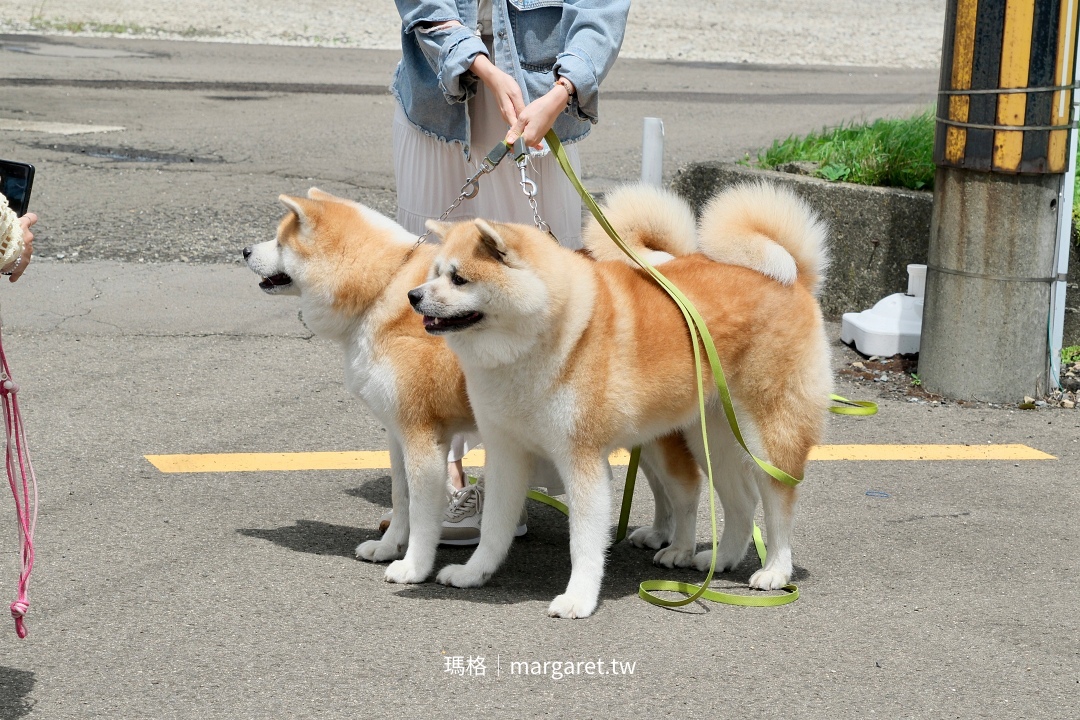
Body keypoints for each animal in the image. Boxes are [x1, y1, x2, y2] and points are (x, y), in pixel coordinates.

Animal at [412, 183, 833, 617]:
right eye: (434, 273)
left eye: (459, 278)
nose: (413, 296)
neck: (549, 335)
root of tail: (795, 278)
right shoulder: (507, 453)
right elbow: (495, 529)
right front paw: (473, 573)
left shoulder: (581, 459)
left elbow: (583, 543)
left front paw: (578, 598)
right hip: (711, 438)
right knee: (742, 502)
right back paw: (724, 558)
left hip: (766, 434)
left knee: (778, 502)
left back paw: (775, 571)